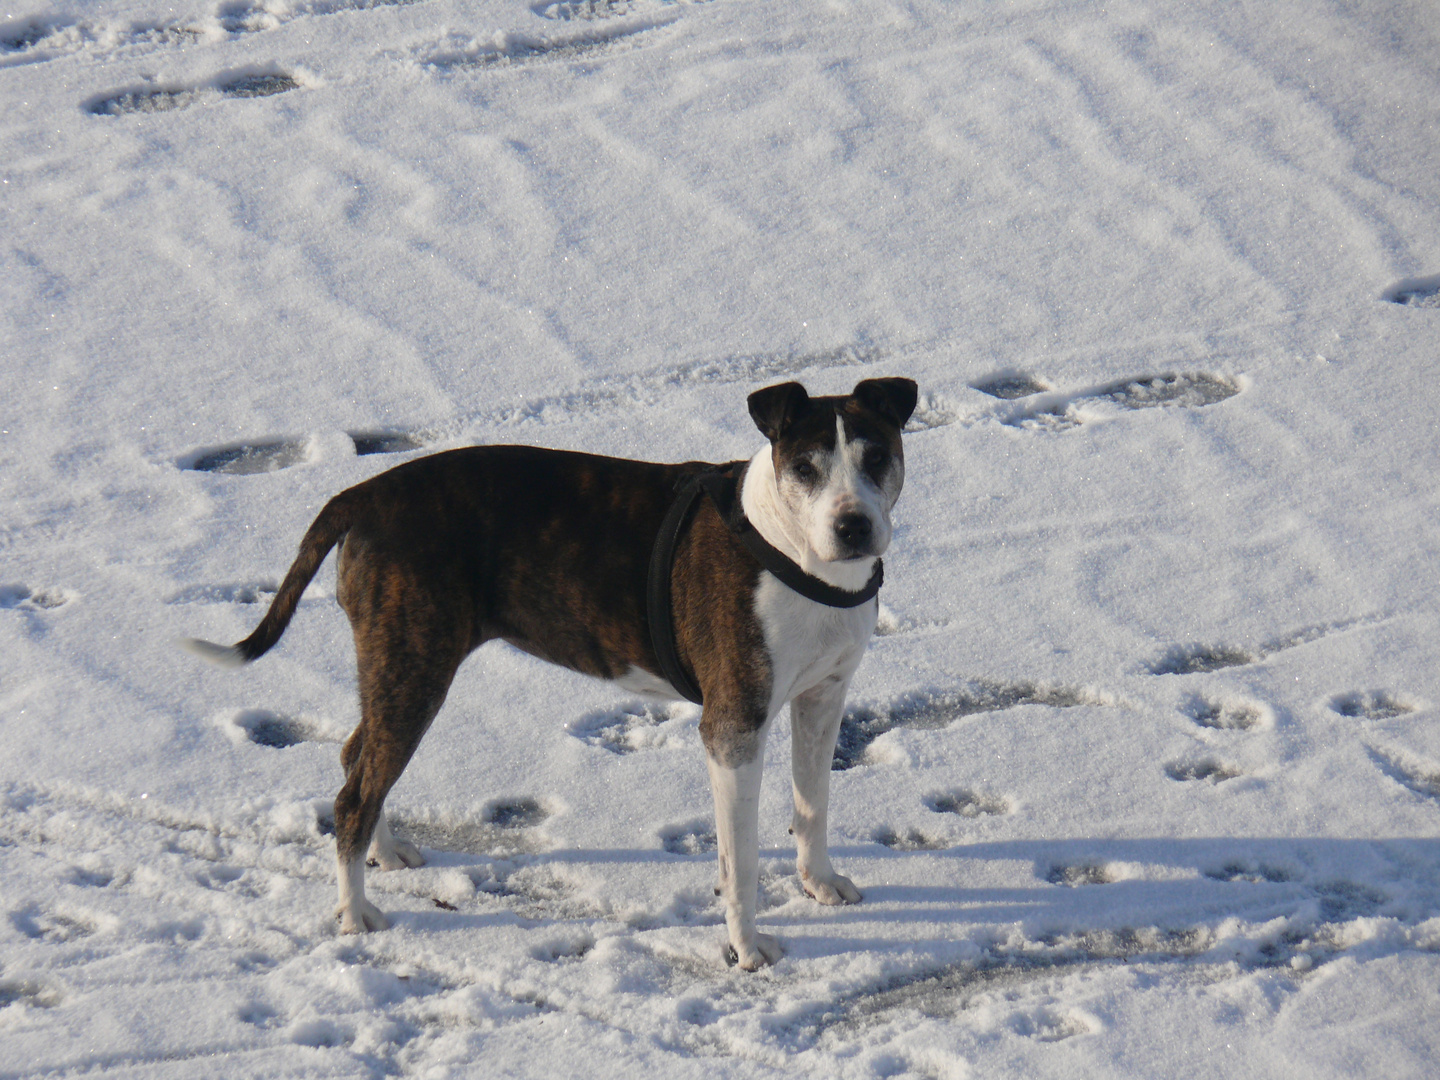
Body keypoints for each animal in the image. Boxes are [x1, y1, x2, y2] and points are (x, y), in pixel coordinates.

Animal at [185, 380, 915, 973]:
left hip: (398, 665)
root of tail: (361, 495)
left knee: (356, 759)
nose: (853, 525)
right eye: (805, 468)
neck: (794, 554)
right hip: (415, 662)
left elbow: (812, 804)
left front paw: (819, 883)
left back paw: (383, 853)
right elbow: (739, 862)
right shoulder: (734, 725)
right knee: (354, 794)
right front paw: (746, 949)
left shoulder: (823, 697)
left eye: (877, 457)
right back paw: (355, 915)